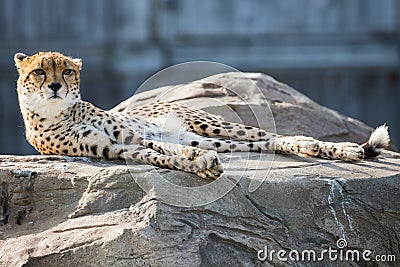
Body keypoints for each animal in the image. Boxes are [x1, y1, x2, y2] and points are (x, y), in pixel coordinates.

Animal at [14, 51, 390, 179]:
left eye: (66, 72)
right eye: (39, 72)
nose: (55, 87)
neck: (57, 112)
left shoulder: (130, 134)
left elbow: (164, 149)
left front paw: (196, 161)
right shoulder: (118, 148)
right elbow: (162, 157)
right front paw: (199, 165)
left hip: (212, 124)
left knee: (272, 136)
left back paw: (339, 148)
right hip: (210, 137)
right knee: (260, 146)